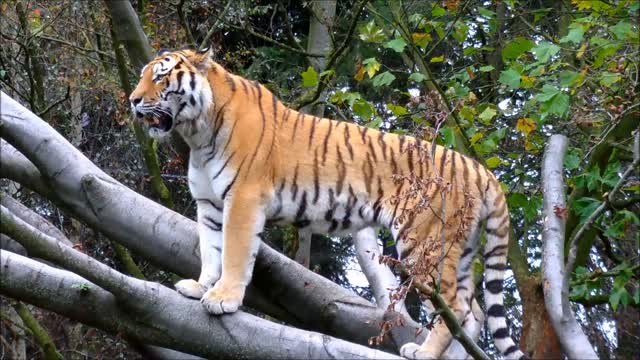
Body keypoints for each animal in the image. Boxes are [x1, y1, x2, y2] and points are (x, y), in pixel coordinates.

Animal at [129, 48, 524, 360]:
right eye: (143, 75)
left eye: (160, 77)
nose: (133, 100)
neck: (197, 133)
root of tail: (479, 169)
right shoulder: (209, 204)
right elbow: (210, 250)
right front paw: (201, 287)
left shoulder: (242, 199)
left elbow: (234, 252)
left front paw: (223, 298)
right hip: (459, 249)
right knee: (472, 311)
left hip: (424, 243)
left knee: (455, 306)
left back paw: (425, 353)